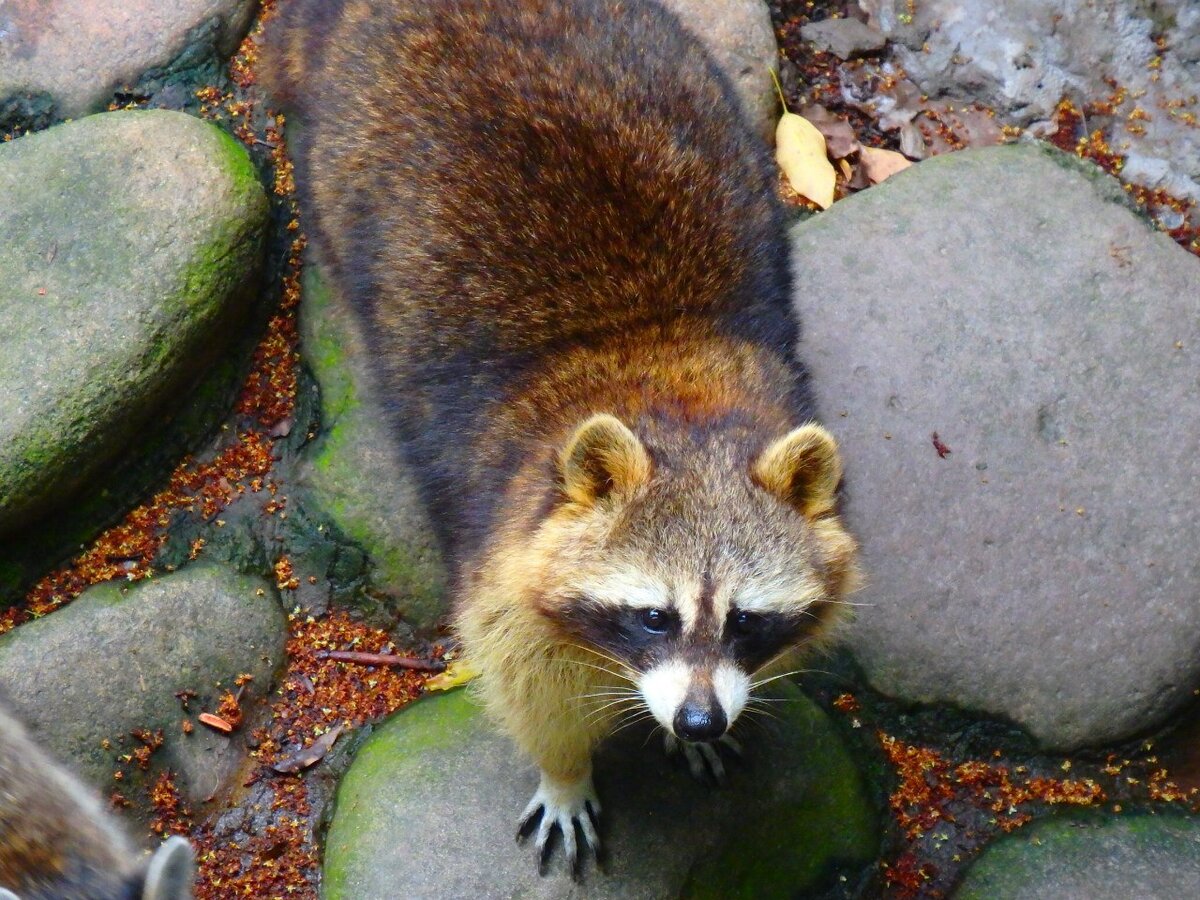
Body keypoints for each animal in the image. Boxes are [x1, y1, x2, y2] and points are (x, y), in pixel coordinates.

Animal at [267, 0, 859, 878]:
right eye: (653, 616)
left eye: (747, 620)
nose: (700, 719)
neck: (665, 380)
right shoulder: (505, 532)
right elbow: (526, 678)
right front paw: (566, 770)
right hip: (339, 162)